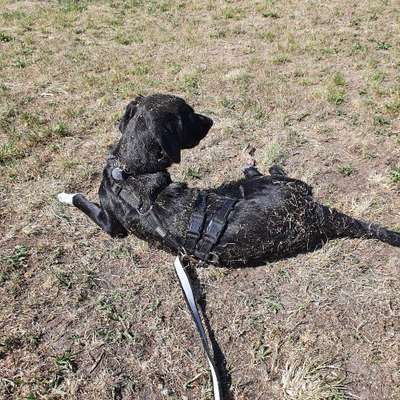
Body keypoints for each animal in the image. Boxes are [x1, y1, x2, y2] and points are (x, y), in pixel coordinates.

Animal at [57, 94, 398, 268]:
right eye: (188, 115)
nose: (211, 120)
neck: (130, 168)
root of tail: (318, 214)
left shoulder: (110, 224)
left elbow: (83, 201)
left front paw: (64, 195)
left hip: (271, 186)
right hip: (276, 186)